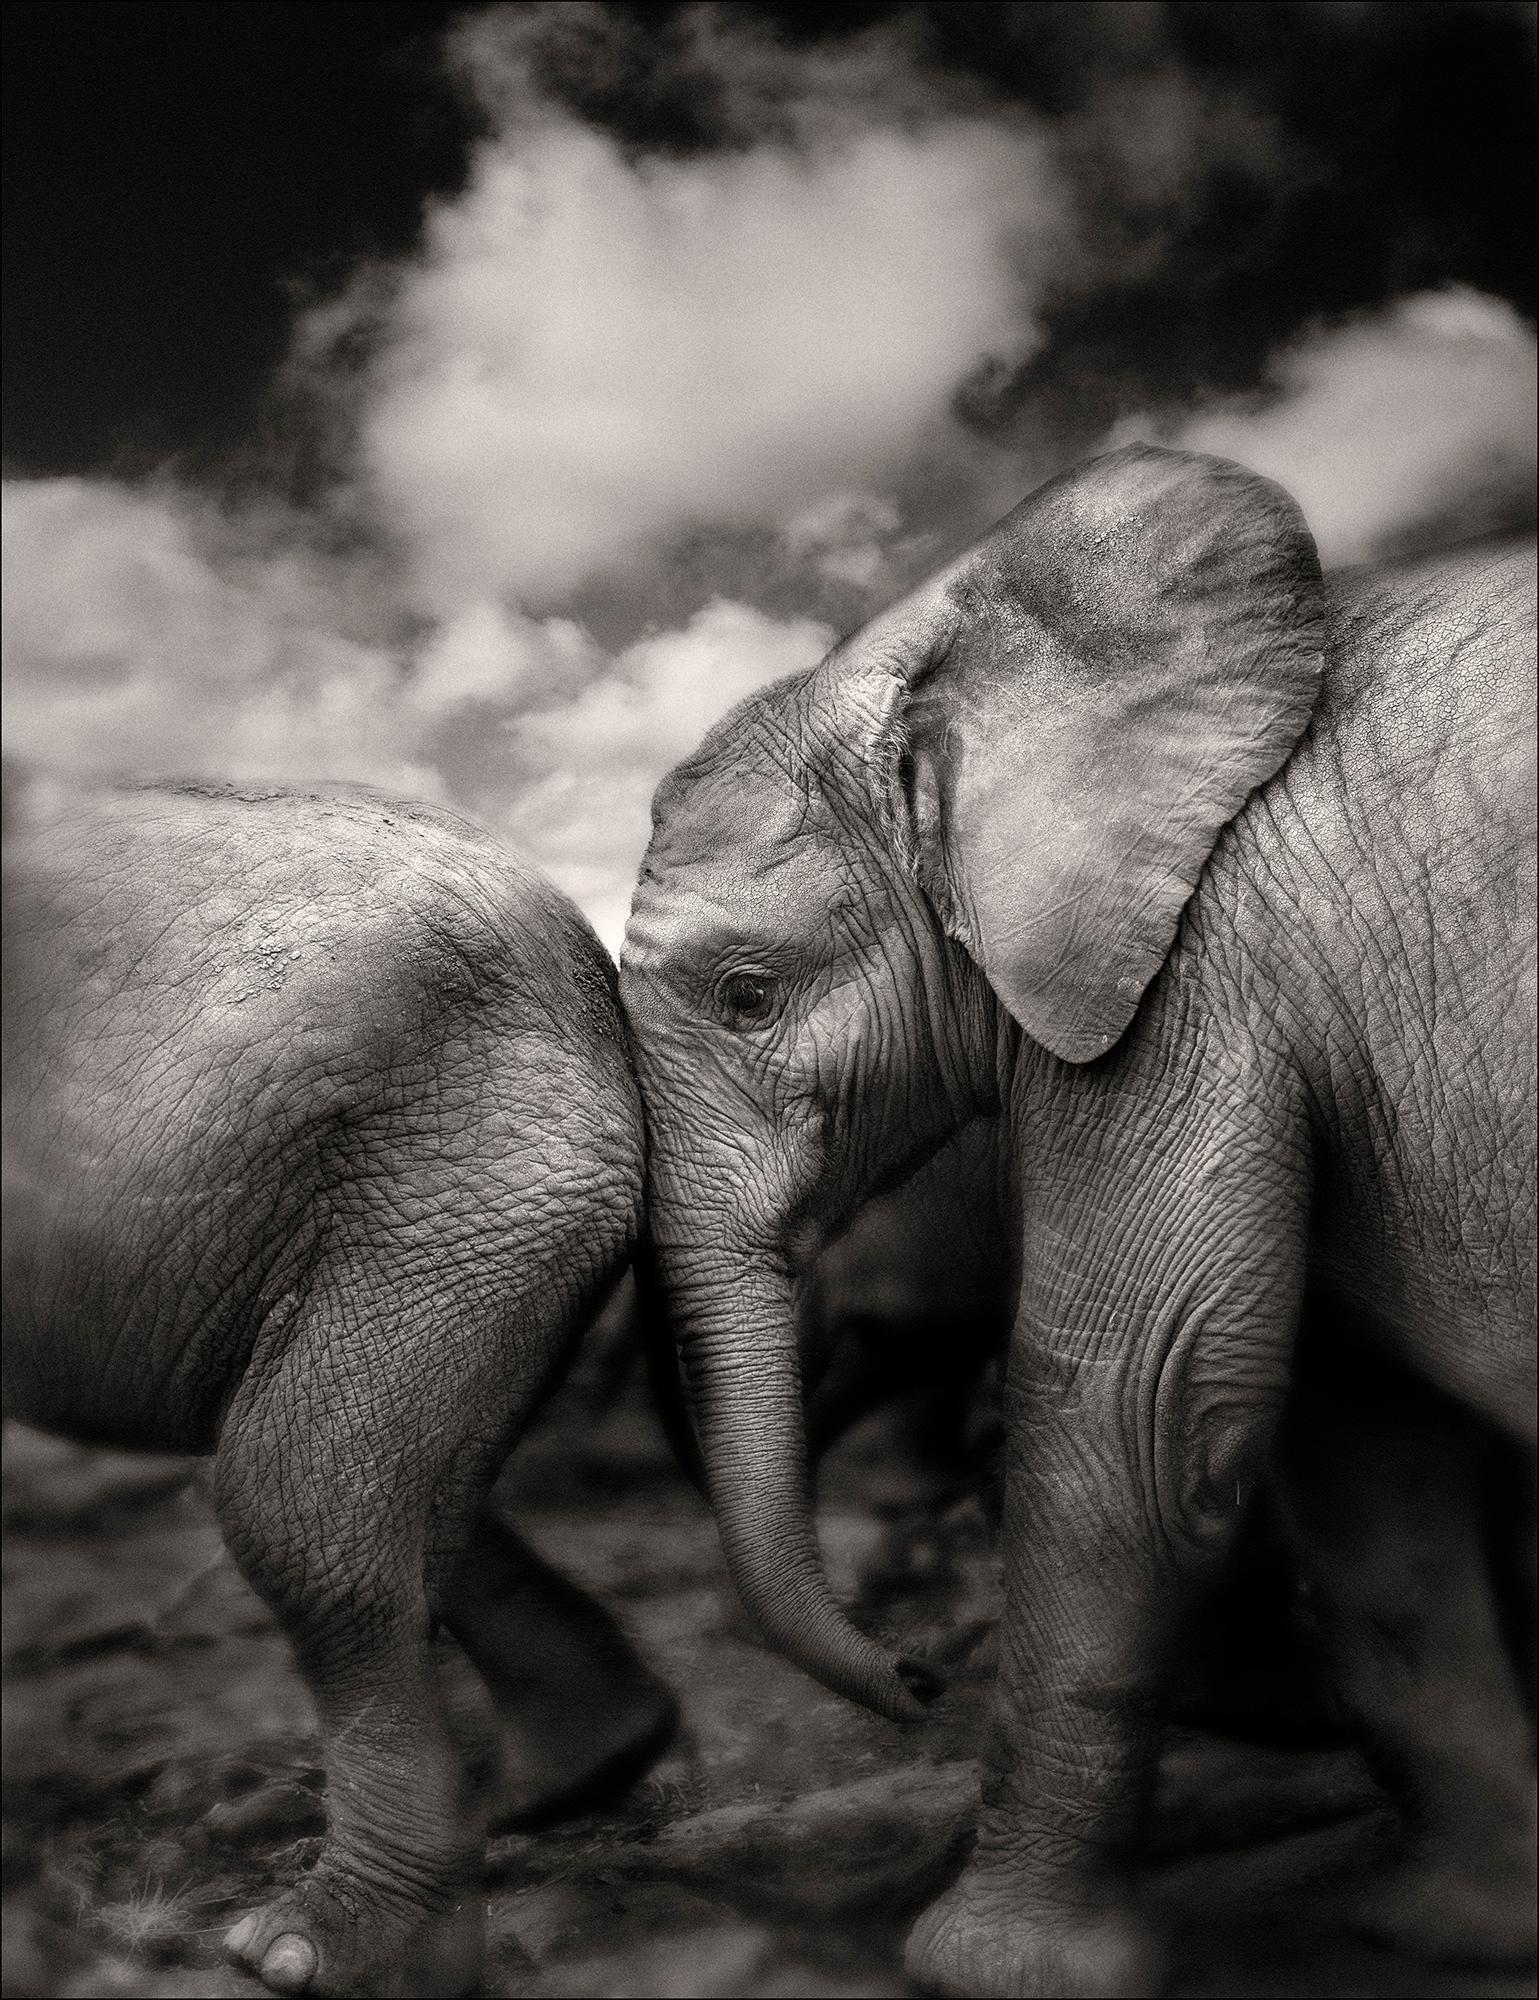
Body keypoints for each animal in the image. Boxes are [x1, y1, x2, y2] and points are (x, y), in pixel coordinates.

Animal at [1, 776, 671, 2000]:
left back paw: (315, 1951)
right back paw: (574, 1776)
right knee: (403, 1497)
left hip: (450, 1192)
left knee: (297, 1507)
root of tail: (595, 988)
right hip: (471, 1216)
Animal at [615, 454, 1527, 2000]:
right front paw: (1452, 1932)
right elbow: (1360, 1460)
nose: (916, 1673)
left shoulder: (1189, 974)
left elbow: (1138, 1410)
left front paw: (985, 1970)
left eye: (748, 995)